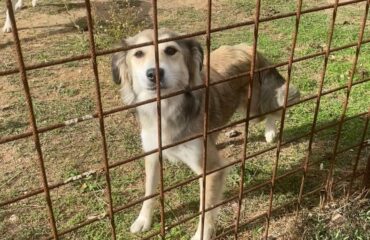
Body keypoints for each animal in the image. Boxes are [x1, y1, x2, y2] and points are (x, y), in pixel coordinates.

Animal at [111, 29, 300, 239]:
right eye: (138, 54)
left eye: (170, 50)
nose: (154, 74)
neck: (167, 109)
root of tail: (247, 47)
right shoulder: (152, 154)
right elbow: (149, 191)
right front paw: (143, 220)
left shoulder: (212, 170)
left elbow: (206, 209)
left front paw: (202, 234)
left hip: (253, 108)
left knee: (274, 109)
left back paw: (270, 131)